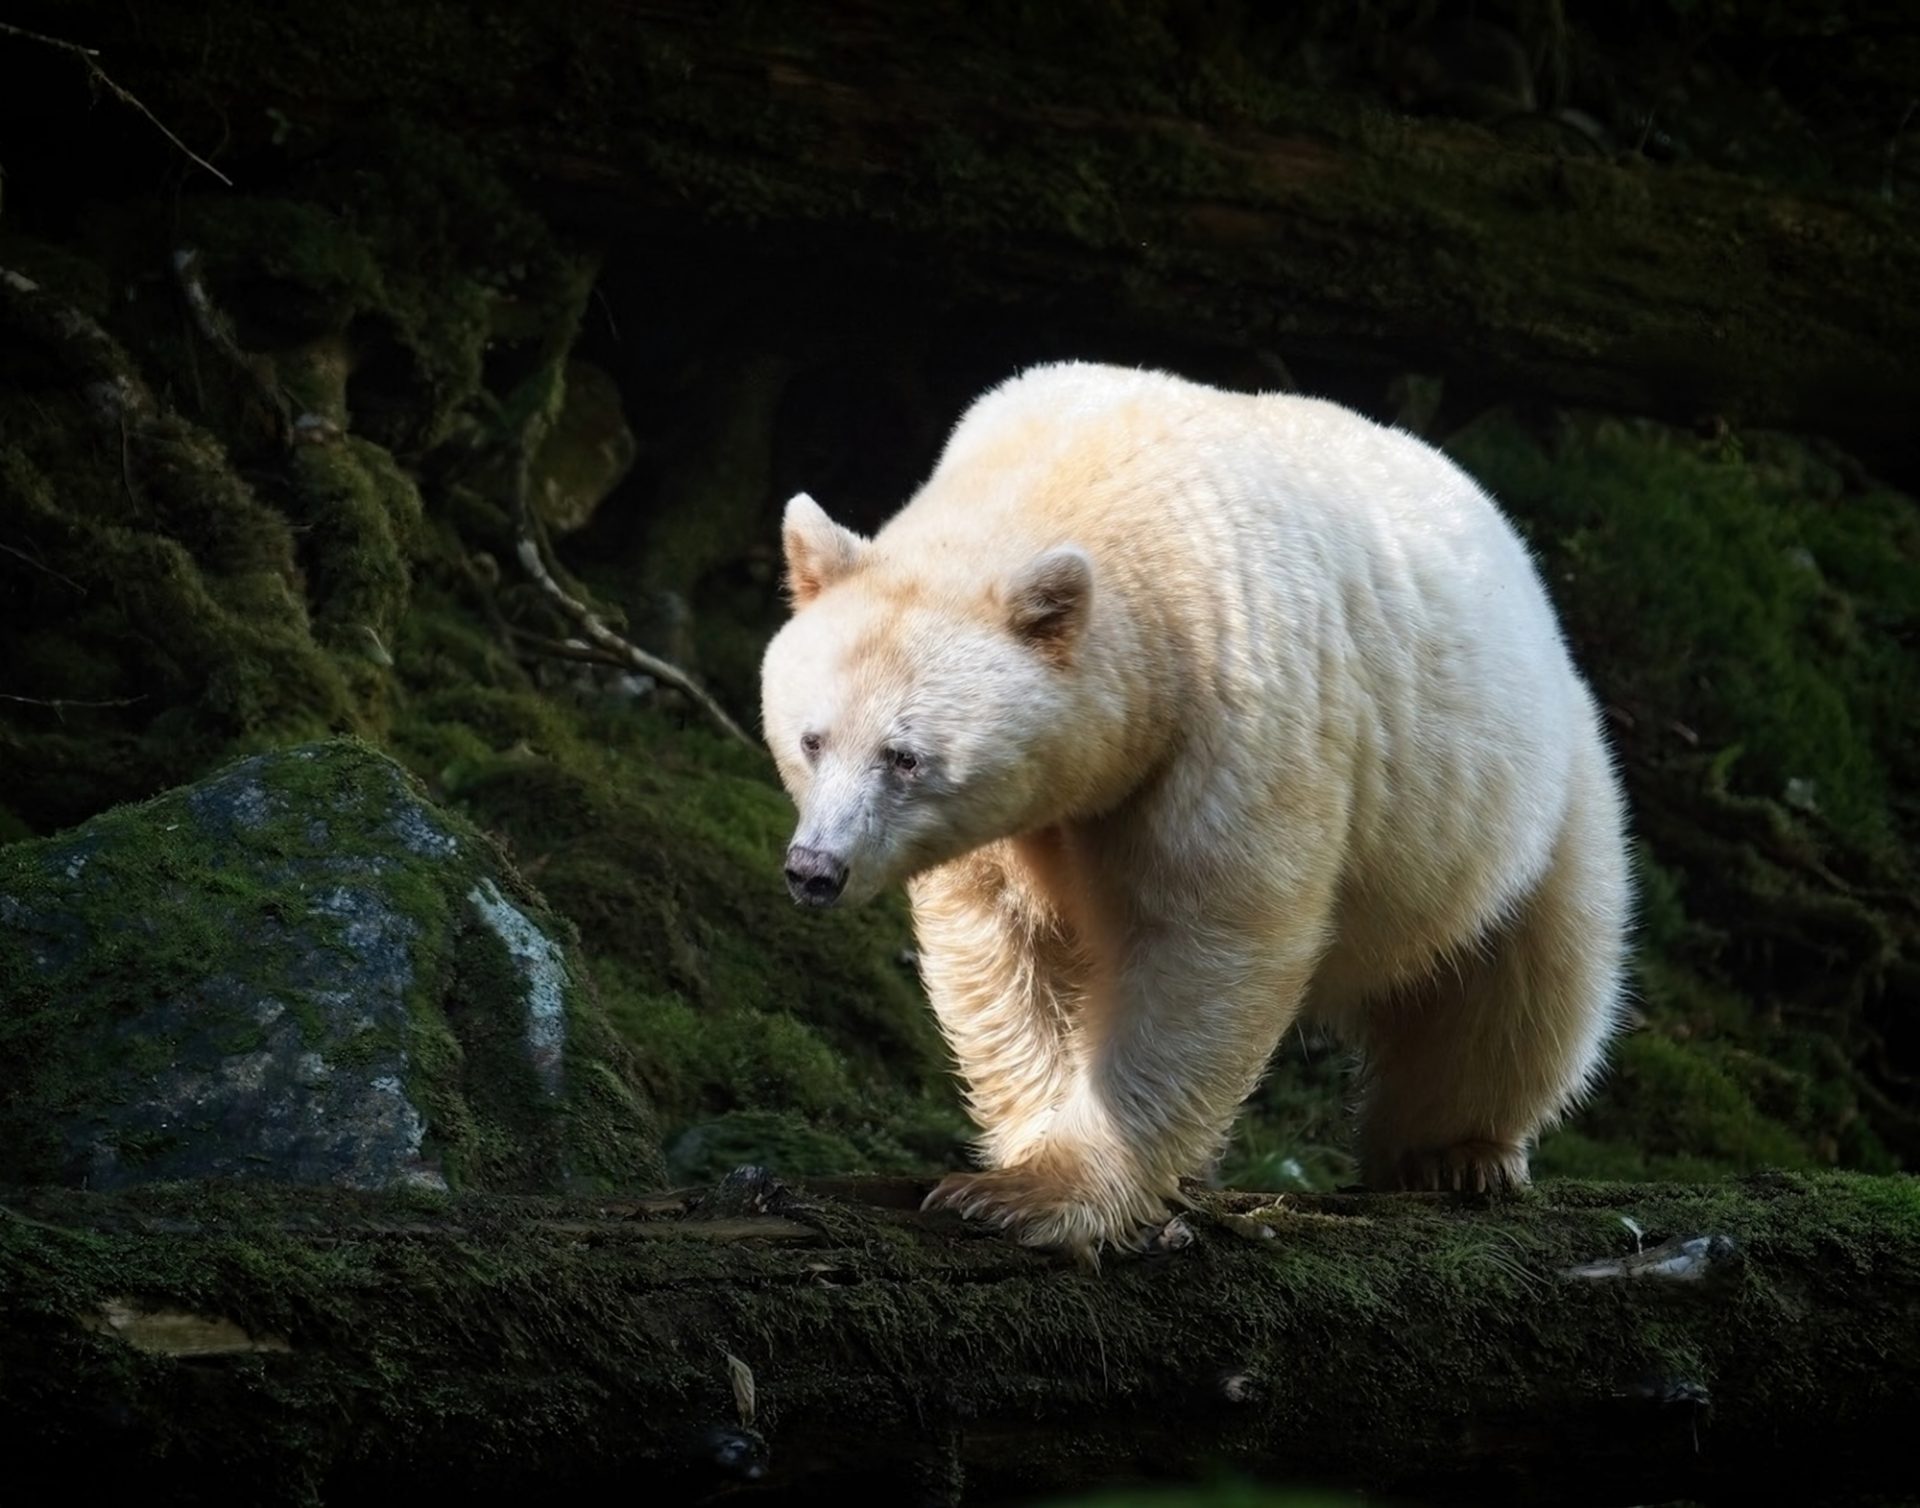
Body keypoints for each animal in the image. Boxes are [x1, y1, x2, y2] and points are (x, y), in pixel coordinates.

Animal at [758, 360, 1632, 1261]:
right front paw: (1017, 1163)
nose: (815, 869)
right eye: (812, 739)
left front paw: (1040, 1195)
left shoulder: (1231, 710)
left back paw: (1456, 1152)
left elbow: (1208, 939)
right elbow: (1003, 951)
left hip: (1527, 792)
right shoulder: (1023, 826)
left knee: (1527, 979)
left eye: (905, 757)